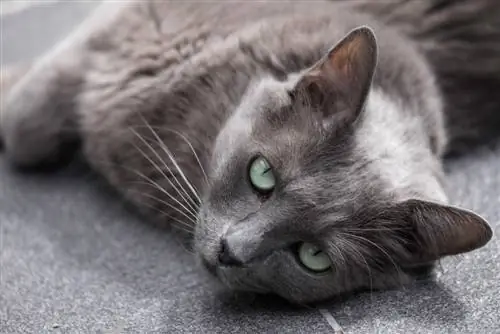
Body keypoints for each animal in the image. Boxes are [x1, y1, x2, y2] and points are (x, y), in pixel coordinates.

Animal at [0, 0, 498, 304]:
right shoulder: (140, 19)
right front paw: (14, 81)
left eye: (313, 257)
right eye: (262, 174)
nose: (230, 252)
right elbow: (27, 122)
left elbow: (26, 124)